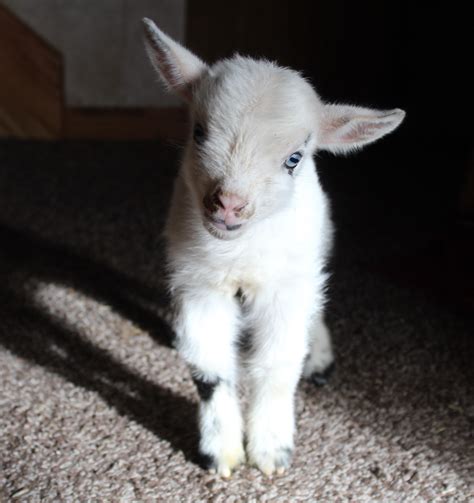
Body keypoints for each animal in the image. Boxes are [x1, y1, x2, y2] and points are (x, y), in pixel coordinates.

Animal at [143, 17, 406, 478]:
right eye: (199, 132)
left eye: (294, 158)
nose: (228, 204)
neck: (239, 251)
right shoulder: (198, 282)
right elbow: (209, 369)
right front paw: (221, 452)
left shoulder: (287, 287)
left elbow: (279, 365)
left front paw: (271, 452)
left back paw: (320, 355)